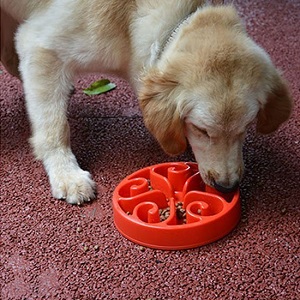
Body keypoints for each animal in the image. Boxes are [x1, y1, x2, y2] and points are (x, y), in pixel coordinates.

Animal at [0, 0, 292, 204]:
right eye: (201, 129)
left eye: (246, 128)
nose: (227, 187)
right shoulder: (40, 46)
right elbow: (54, 128)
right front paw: (66, 174)